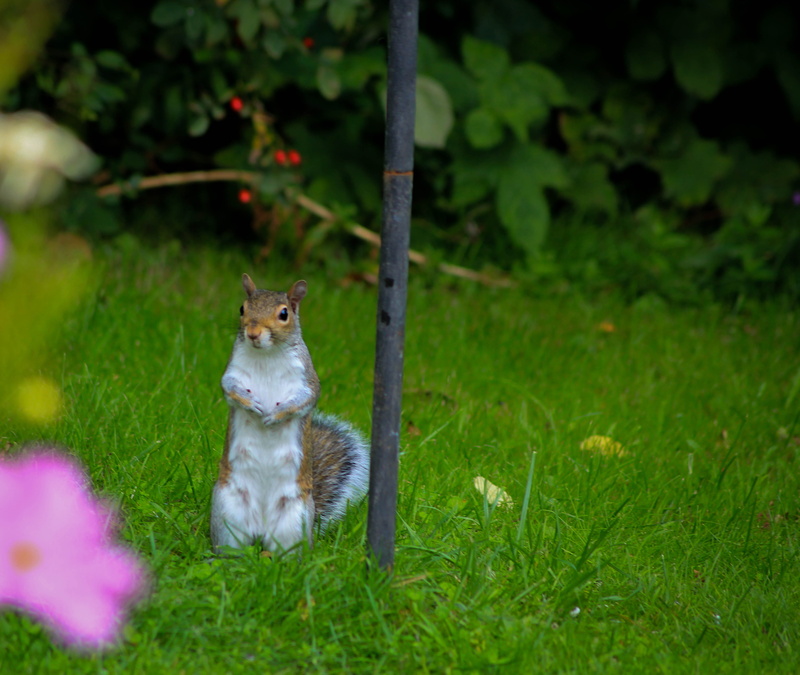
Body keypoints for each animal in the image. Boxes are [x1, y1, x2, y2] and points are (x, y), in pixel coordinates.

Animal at [210, 274, 370, 553]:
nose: (253, 333)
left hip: (295, 520)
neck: (266, 355)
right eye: (242, 308)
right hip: (227, 511)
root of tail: (261, 527)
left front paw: (276, 415)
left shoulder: (307, 379)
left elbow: (305, 399)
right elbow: (230, 389)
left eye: (284, 314)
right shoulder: (232, 372)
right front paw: (251, 404)